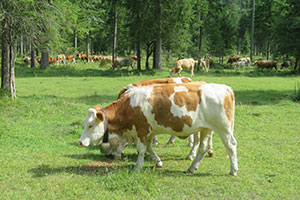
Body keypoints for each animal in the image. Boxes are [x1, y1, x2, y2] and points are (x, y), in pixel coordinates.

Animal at [78, 82, 238, 176]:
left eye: (90, 125)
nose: (80, 142)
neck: (128, 106)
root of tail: (225, 88)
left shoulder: (141, 130)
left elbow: (141, 150)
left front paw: (137, 167)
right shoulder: (148, 131)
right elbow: (149, 148)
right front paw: (158, 161)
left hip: (223, 128)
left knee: (231, 146)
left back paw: (233, 170)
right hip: (205, 128)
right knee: (203, 147)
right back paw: (192, 167)